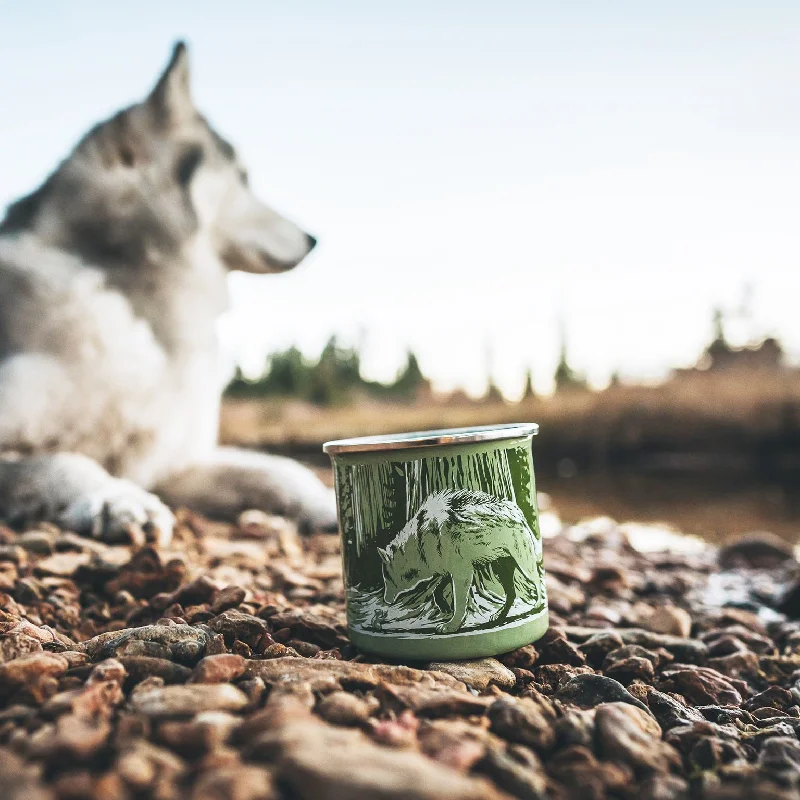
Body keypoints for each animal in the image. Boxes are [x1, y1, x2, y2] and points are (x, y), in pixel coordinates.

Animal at [0, 42, 338, 544]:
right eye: (243, 177)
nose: (313, 239)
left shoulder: (168, 462)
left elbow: (274, 467)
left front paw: (325, 500)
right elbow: (61, 461)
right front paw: (116, 499)